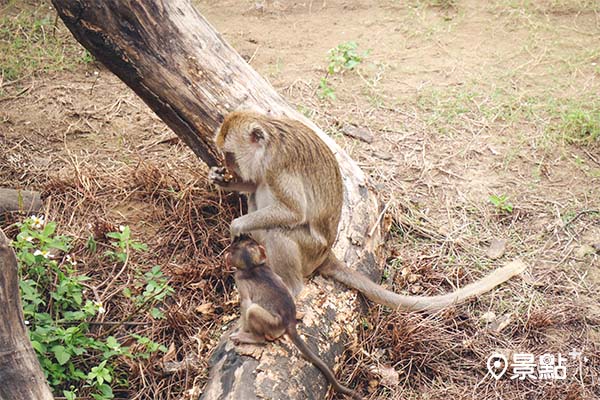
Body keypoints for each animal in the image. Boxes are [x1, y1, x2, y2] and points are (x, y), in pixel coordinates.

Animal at [210, 110, 524, 312]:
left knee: (278, 232)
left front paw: (237, 224)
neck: (271, 141)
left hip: (309, 249)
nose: (228, 166)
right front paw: (223, 180)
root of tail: (326, 253)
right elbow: (253, 184)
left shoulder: (277, 168)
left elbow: (293, 212)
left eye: (230, 154)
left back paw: (289, 288)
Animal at [229, 234, 360, 400]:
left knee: (252, 311)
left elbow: (245, 303)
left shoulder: (239, 279)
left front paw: (242, 331)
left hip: (273, 324)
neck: (253, 266)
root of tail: (289, 322)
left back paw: (254, 337)